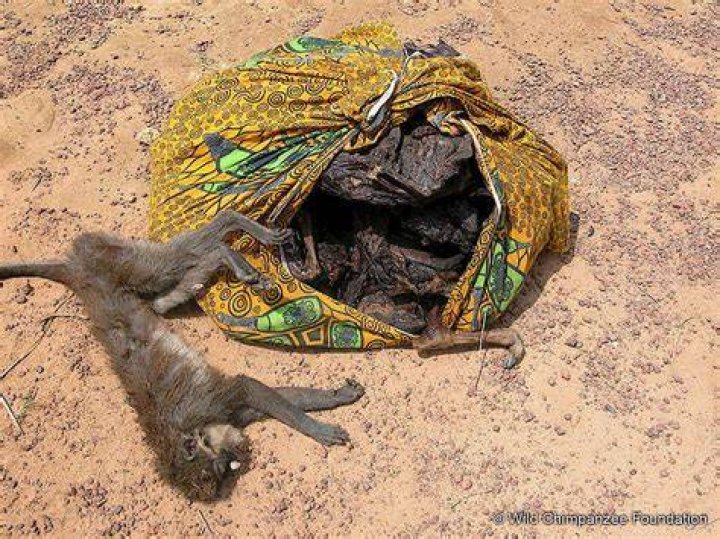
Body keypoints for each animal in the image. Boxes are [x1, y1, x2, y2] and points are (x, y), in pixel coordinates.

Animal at [0, 210, 365, 501]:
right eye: (223, 472)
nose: (241, 454)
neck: (189, 431)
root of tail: (76, 273)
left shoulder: (204, 405)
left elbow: (248, 387)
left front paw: (316, 429)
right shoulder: (227, 416)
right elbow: (272, 397)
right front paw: (336, 397)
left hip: (116, 262)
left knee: (169, 263)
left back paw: (231, 236)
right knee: (170, 292)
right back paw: (224, 254)